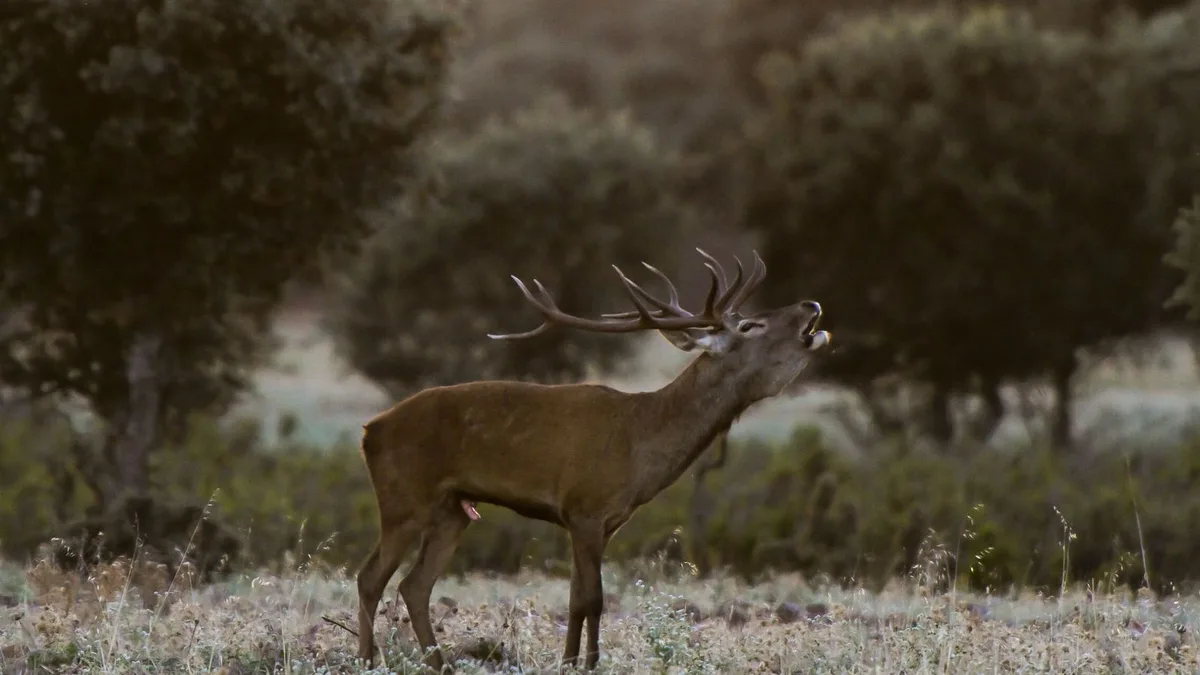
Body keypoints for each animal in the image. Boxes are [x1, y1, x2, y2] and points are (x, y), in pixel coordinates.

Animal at [354, 247, 831, 672]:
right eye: (750, 324)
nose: (811, 303)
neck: (640, 446)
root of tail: (369, 432)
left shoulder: (604, 521)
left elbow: (575, 598)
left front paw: (571, 662)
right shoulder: (584, 507)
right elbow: (592, 599)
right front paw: (585, 664)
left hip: (451, 512)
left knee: (414, 585)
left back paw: (437, 664)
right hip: (403, 499)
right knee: (371, 576)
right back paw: (366, 660)